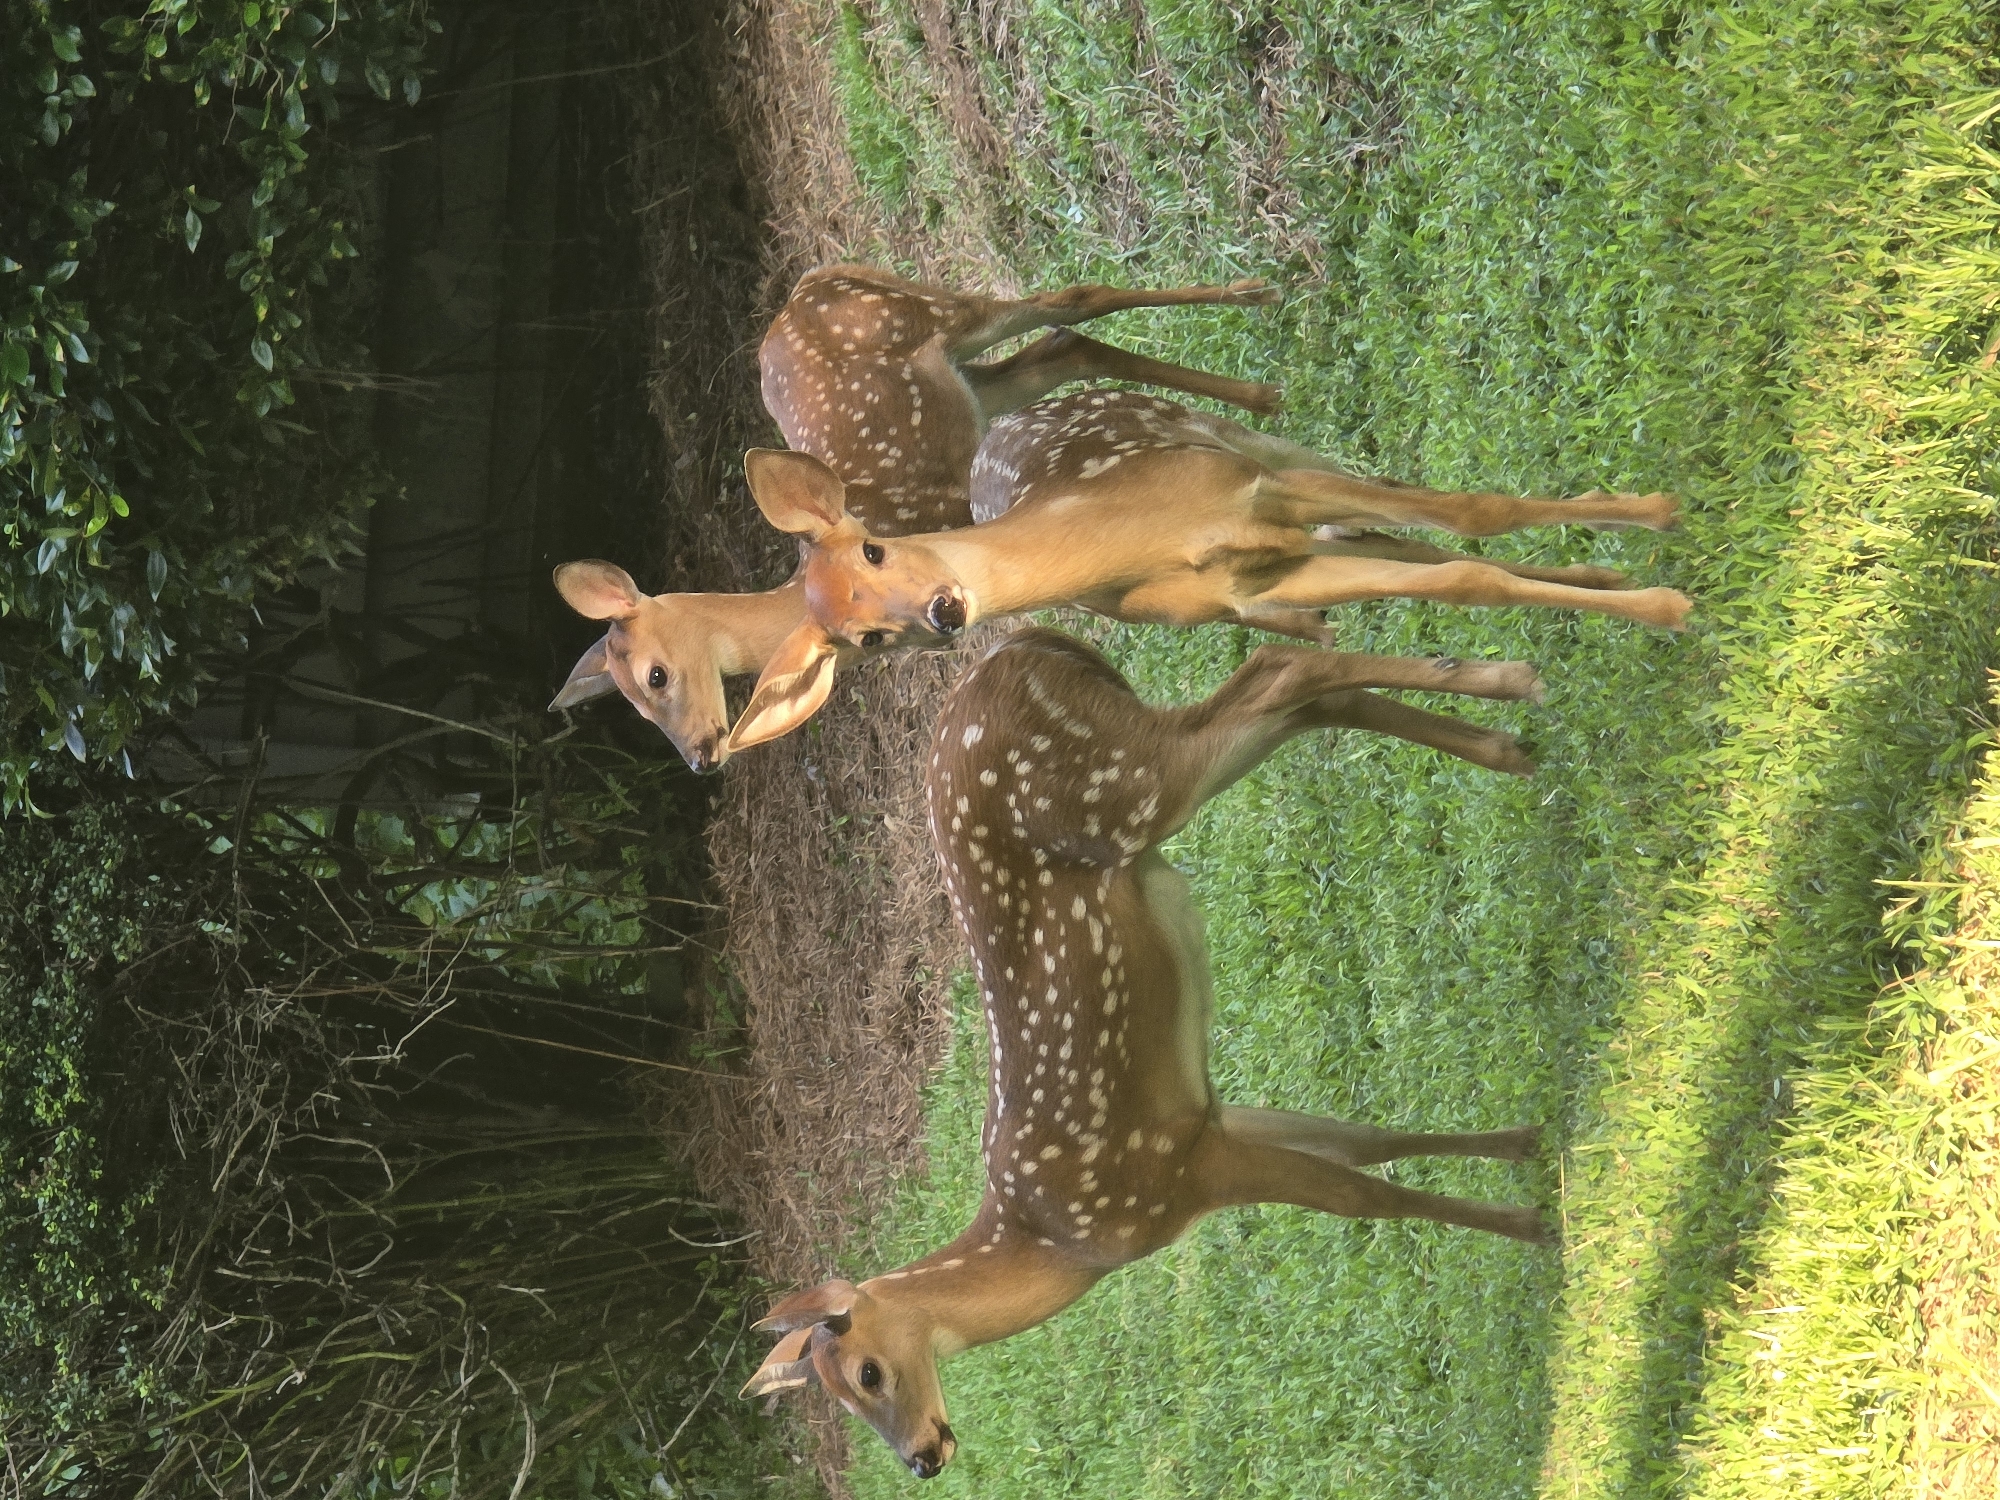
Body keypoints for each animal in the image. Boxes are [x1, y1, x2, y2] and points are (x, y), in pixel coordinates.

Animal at [548, 266, 1284, 772]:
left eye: (655, 676)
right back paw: (1261, 392)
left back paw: (1258, 304)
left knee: (1073, 300)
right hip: (967, 382)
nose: (701, 755)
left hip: (930, 315)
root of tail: (805, 288)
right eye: (630, 705)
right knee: (1065, 345)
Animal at [725, 388, 1692, 753]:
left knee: (1407, 509)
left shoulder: (1258, 492)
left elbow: (1473, 518)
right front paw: (1646, 601)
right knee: (1408, 545)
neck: (1138, 533)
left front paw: (1662, 556)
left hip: (1253, 444)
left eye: (874, 548)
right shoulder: (1250, 582)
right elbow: (1460, 574)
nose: (941, 613)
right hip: (1288, 547)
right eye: (865, 640)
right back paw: (1598, 581)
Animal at [742, 626, 1556, 1478]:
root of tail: (1019, 644)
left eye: (867, 1374)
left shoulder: (1168, 1180)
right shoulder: (1204, 1122)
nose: (922, 1458)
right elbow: (1366, 1142)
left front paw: (1535, 1225)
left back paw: (1514, 681)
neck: (1070, 1243)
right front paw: (1526, 1143)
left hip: (1122, 785)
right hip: (1133, 777)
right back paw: (1510, 745)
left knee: (1277, 669)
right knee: (1303, 698)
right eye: (836, 1401)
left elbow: (1368, 1198)